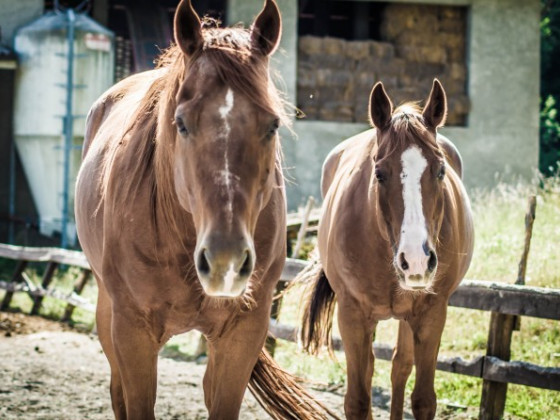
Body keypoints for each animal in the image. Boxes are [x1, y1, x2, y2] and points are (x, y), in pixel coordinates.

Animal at [74, 1, 328, 418]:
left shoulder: (242, 334)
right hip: (108, 313)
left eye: (273, 124)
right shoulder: (131, 333)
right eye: (181, 124)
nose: (225, 261)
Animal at [300, 79, 474, 420]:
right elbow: (357, 399)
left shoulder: (432, 314)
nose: (417, 261)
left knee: (399, 367)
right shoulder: (352, 315)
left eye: (441, 171)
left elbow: (423, 399)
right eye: (379, 173)